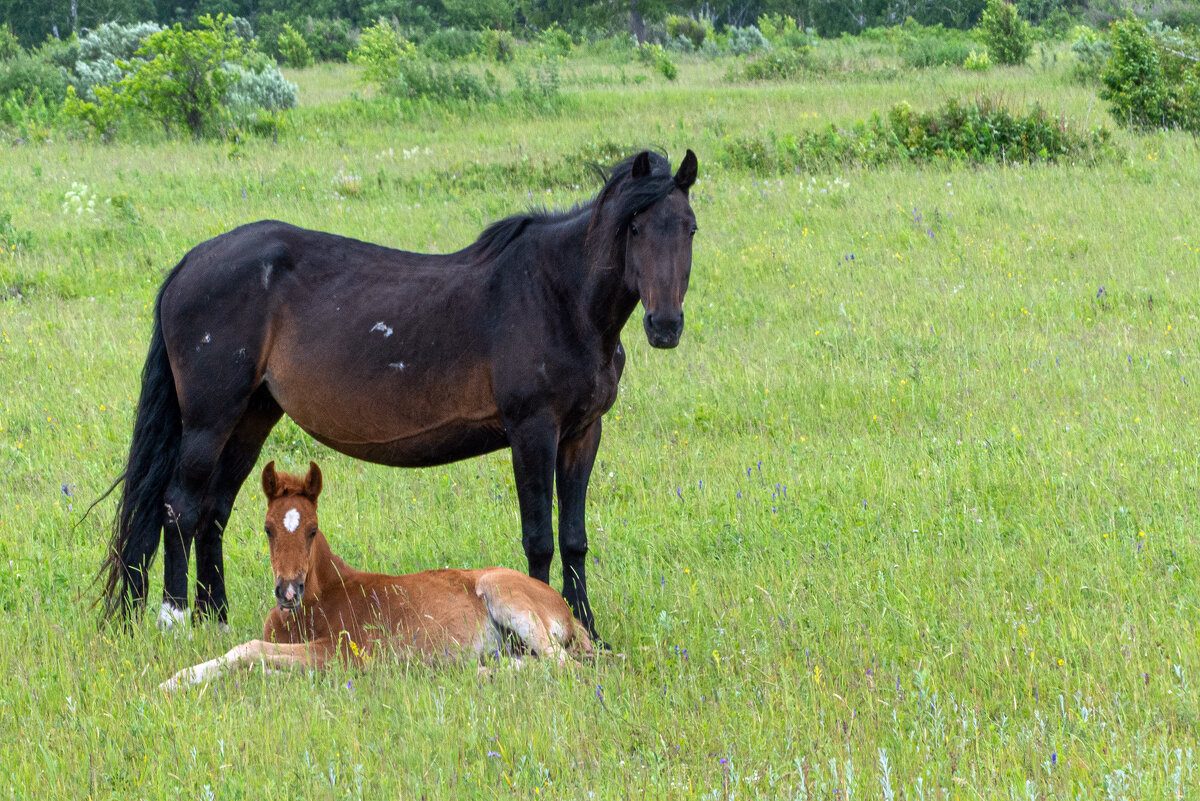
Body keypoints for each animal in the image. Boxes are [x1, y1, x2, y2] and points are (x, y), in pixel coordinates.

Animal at [104, 146, 700, 642]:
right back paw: (176, 620)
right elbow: (540, 538)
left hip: (251, 417)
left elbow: (574, 538)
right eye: (636, 227)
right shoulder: (532, 430)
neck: (557, 296)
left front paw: (588, 627)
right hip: (210, 419)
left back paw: (217, 618)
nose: (665, 326)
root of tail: (191, 261)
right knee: (180, 508)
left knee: (214, 512)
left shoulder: (582, 433)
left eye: (690, 228)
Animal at [159, 460, 590, 690]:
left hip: (500, 590)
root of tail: (568, 612)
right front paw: (177, 679)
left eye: (312, 530)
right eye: (268, 529)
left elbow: (249, 650)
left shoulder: (341, 654)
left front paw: (175, 680)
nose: (287, 591)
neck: (317, 601)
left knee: (563, 664)